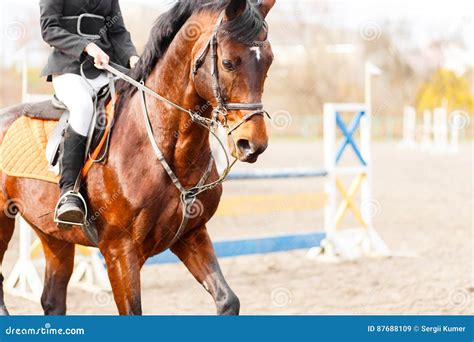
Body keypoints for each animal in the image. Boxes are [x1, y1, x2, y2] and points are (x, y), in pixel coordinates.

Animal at [0, 0, 274, 316]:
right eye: (228, 63)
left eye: (268, 62)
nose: (252, 144)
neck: (170, 150)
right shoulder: (121, 252)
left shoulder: (191, 234)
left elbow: (228, 300)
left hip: (53, 235)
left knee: (53, 299)